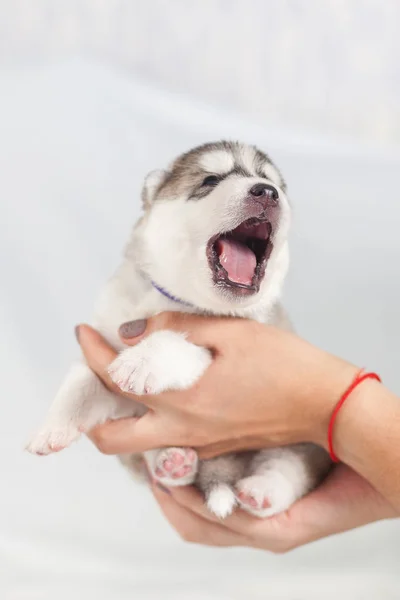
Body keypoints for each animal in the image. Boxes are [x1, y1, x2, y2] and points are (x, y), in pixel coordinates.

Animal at [26, 142, 330, 520]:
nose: (267, 192)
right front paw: (52, 427)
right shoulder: (104, 349)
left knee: (287, 468)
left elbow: (175, 342)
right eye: (211, 180)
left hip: (300, 443)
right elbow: (80, 380)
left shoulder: (226, 348)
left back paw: (261, 491)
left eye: (272, 183)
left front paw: (139, 362)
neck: (174, 299)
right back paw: (172, 463)